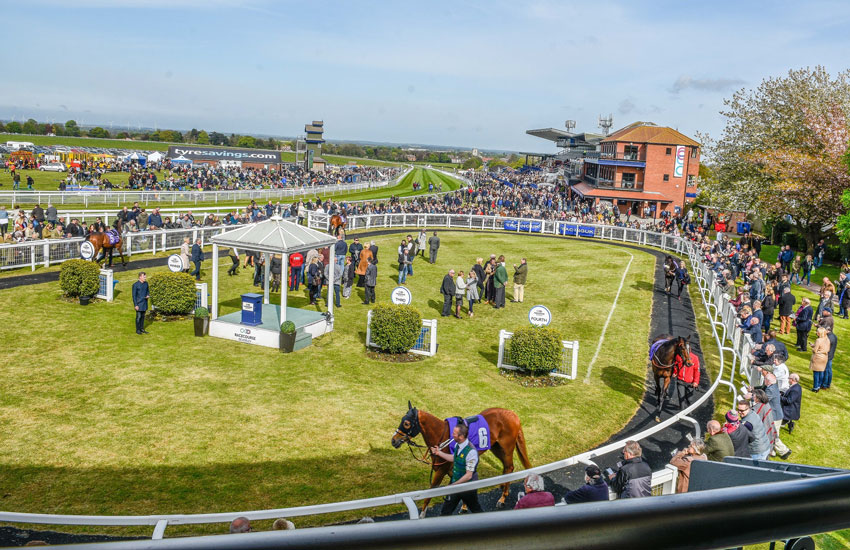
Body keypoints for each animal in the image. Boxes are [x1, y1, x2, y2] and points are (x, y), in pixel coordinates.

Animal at [390, 404, 528, 520]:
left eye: (406, 423)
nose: (393, 440)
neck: (442, 434)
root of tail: (513, 414)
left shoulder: (441, 470)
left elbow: (430, 493)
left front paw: (422, 515)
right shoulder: (451, 469)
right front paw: (464, 506)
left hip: (507, 449)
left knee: (509, 467)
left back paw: (502, 498)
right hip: (496, 447)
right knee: (506, 467)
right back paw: (502, 486)